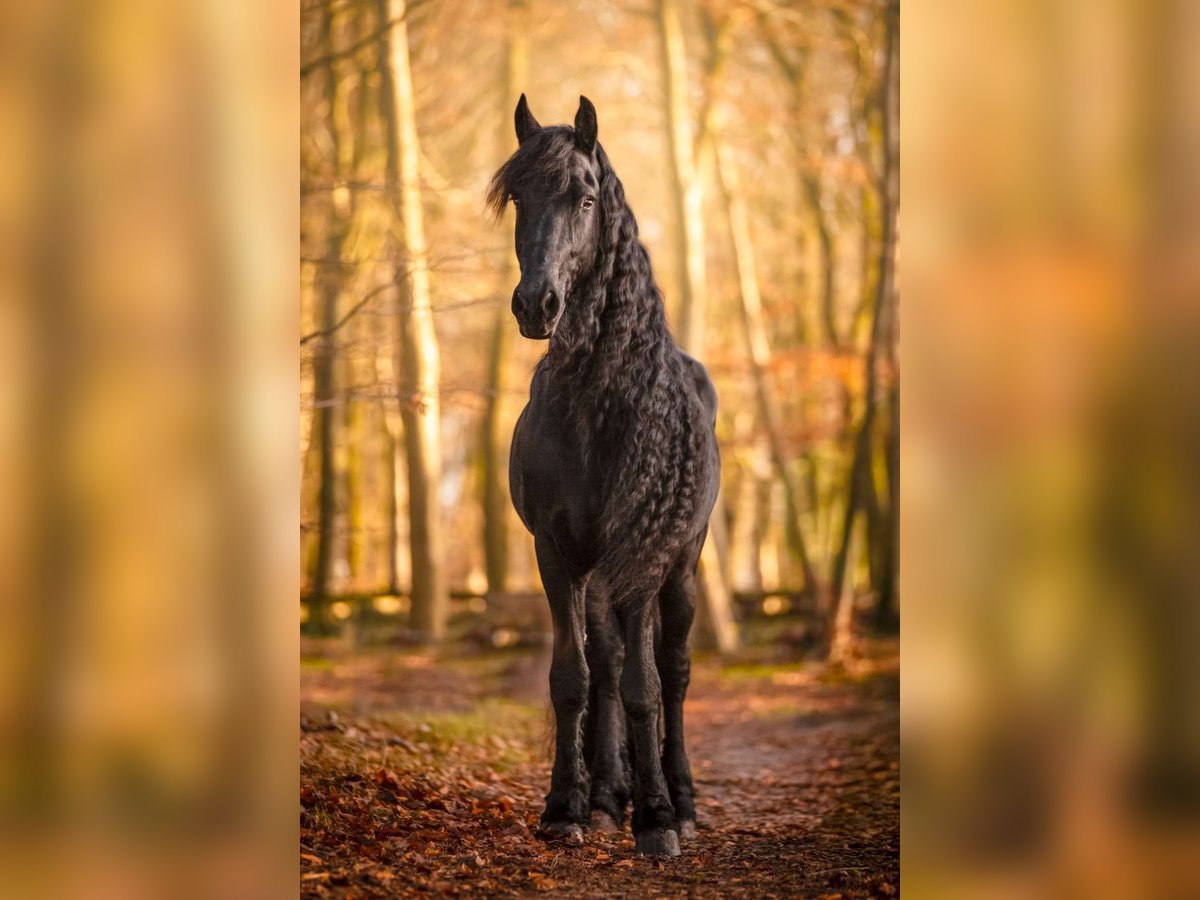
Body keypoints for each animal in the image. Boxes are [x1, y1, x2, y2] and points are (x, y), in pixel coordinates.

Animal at [489, 98, 720, 859]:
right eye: (518, 198)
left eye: (586, 198)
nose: (537, 305)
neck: (599, 406)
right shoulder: (558, 554)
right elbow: (576, 677)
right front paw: (567, 806)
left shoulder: (642, 559)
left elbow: (645, 684)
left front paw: (657, 820)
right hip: (596, 576)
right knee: (607, 664)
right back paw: (605, 797)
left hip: (681, 567)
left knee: (671, 672)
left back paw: (678, 799)